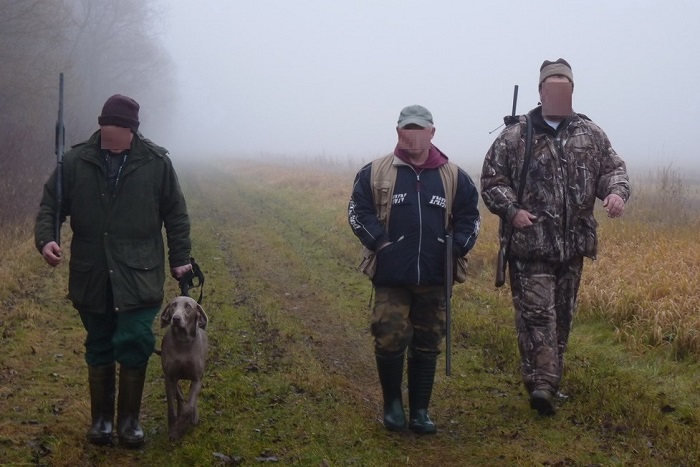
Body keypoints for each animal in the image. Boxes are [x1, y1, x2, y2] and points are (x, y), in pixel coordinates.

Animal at [160, 296, 209, 442]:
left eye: (188, 306)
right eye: (173, 305)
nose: (175, 318)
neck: (183, 341)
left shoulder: (197, 379)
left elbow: (190, 407)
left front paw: (181, 426)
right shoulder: (169, 376)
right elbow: (171, 406)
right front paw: (173, 430)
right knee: (179, 394)